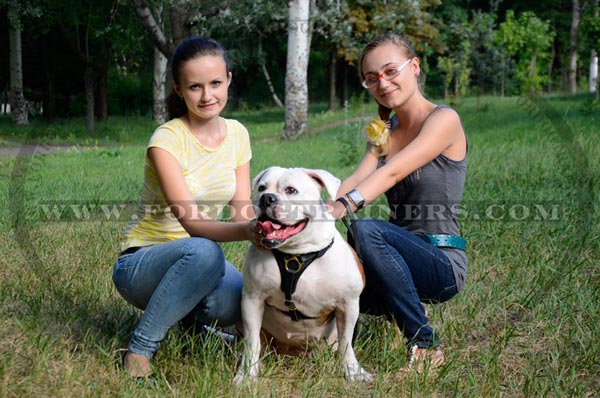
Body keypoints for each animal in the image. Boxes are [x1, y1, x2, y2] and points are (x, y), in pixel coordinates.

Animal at [233, 167, 370, 382]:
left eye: (291, 190)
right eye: (262, 188)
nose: (266, 198)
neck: (297, 254)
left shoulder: (348, 304)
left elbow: (346, 343)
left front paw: (354, 372)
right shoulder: (252, 298)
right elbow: (252, 342)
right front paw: (246, 374)